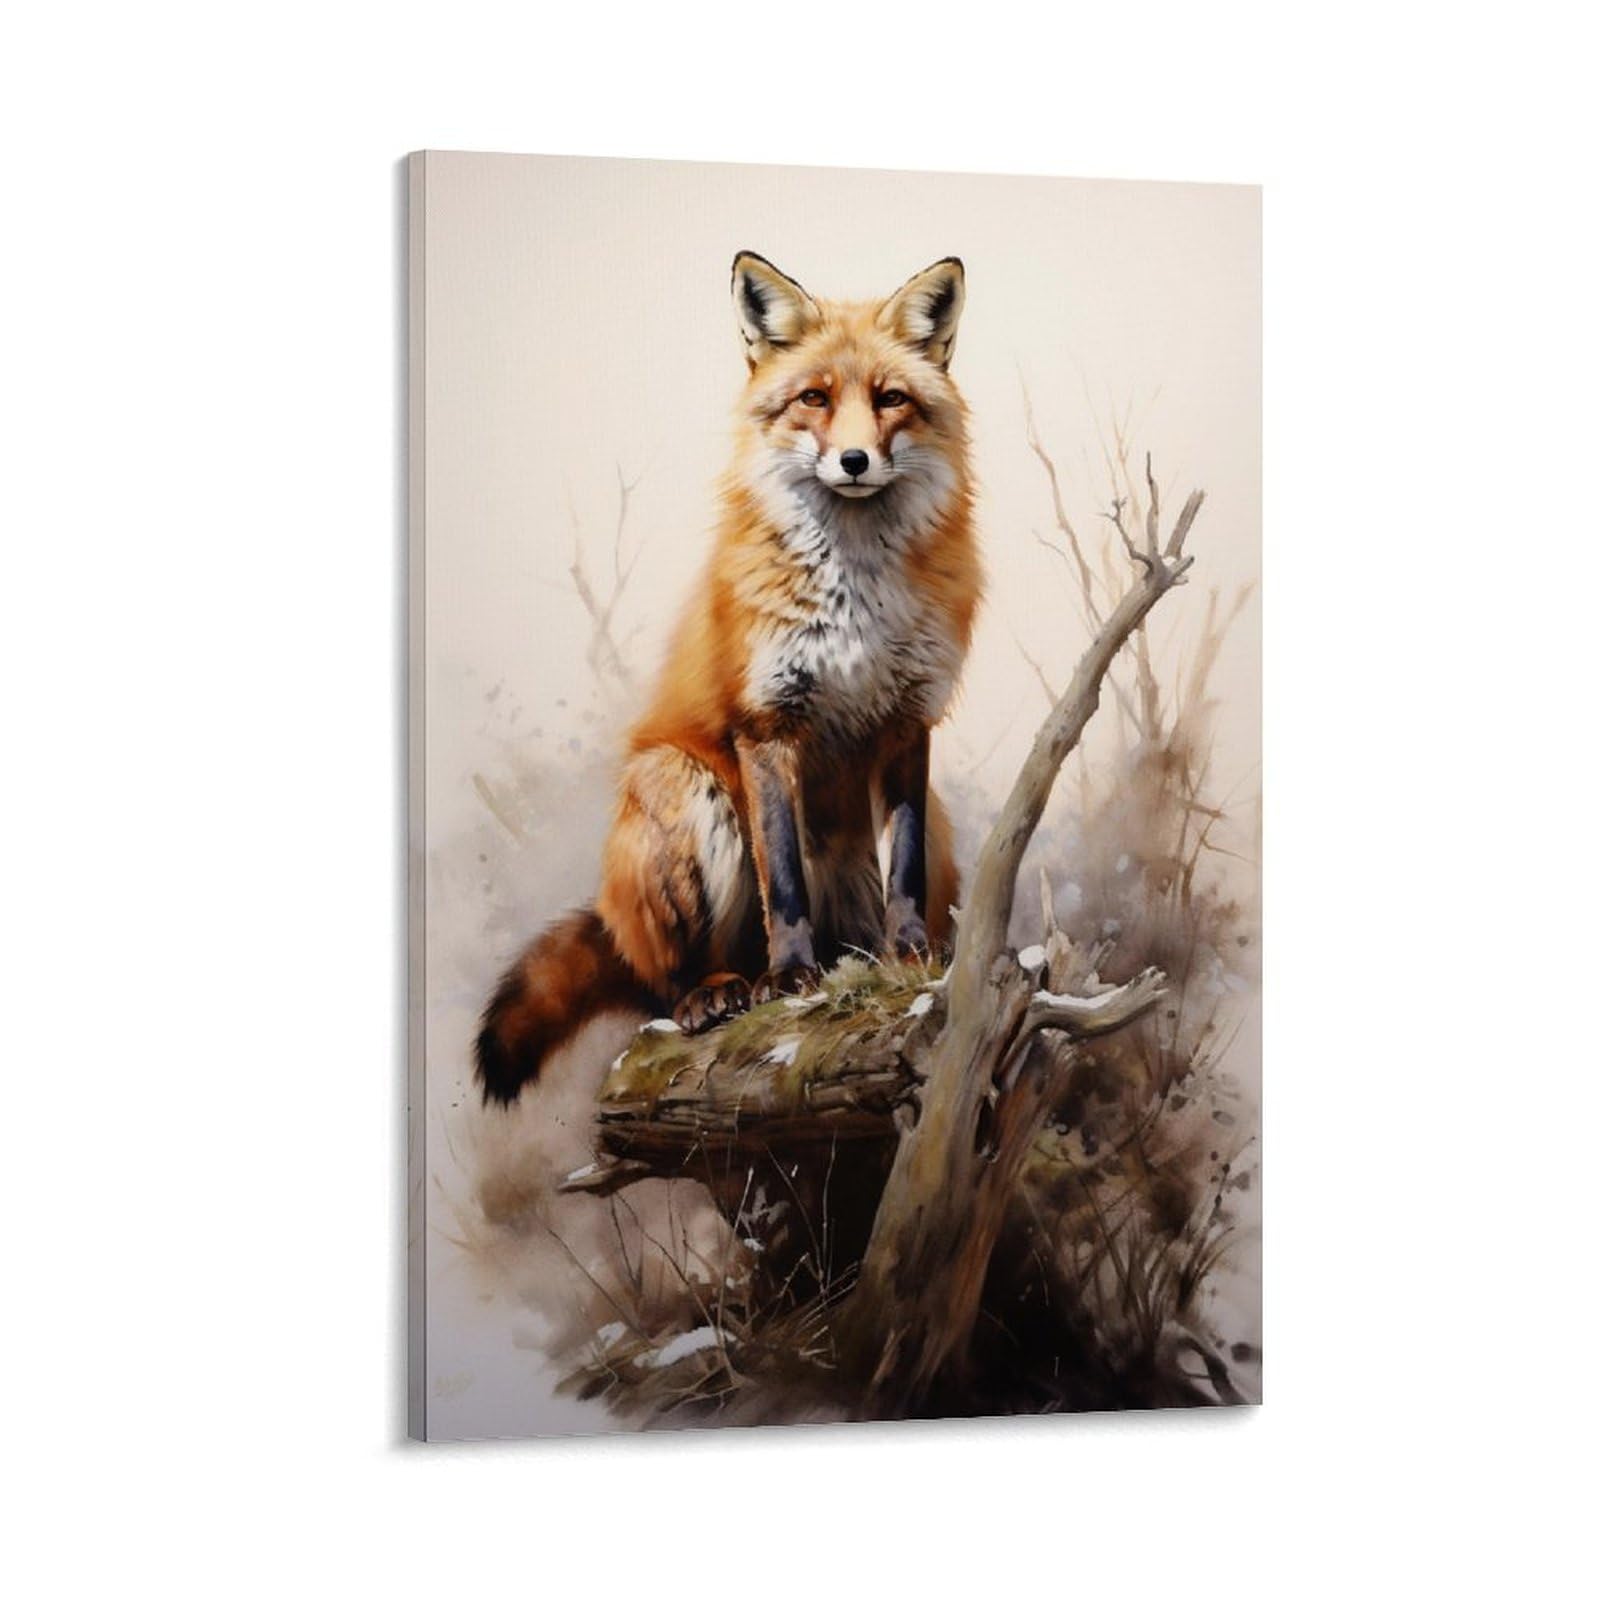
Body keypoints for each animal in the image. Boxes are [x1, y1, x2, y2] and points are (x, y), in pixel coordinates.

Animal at [475, 250, 982, 1106]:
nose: (854, 462)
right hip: (678, 785)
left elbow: (907, 870)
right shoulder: (766, 723)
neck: (855, 594)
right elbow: (783, 880)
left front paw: (912, 952)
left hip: (921, 828)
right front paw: (792, 976)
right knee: (666, 983)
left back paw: (857, 959)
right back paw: (717, 989)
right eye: (814, 398)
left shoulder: (910, 719)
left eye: (891, 400)